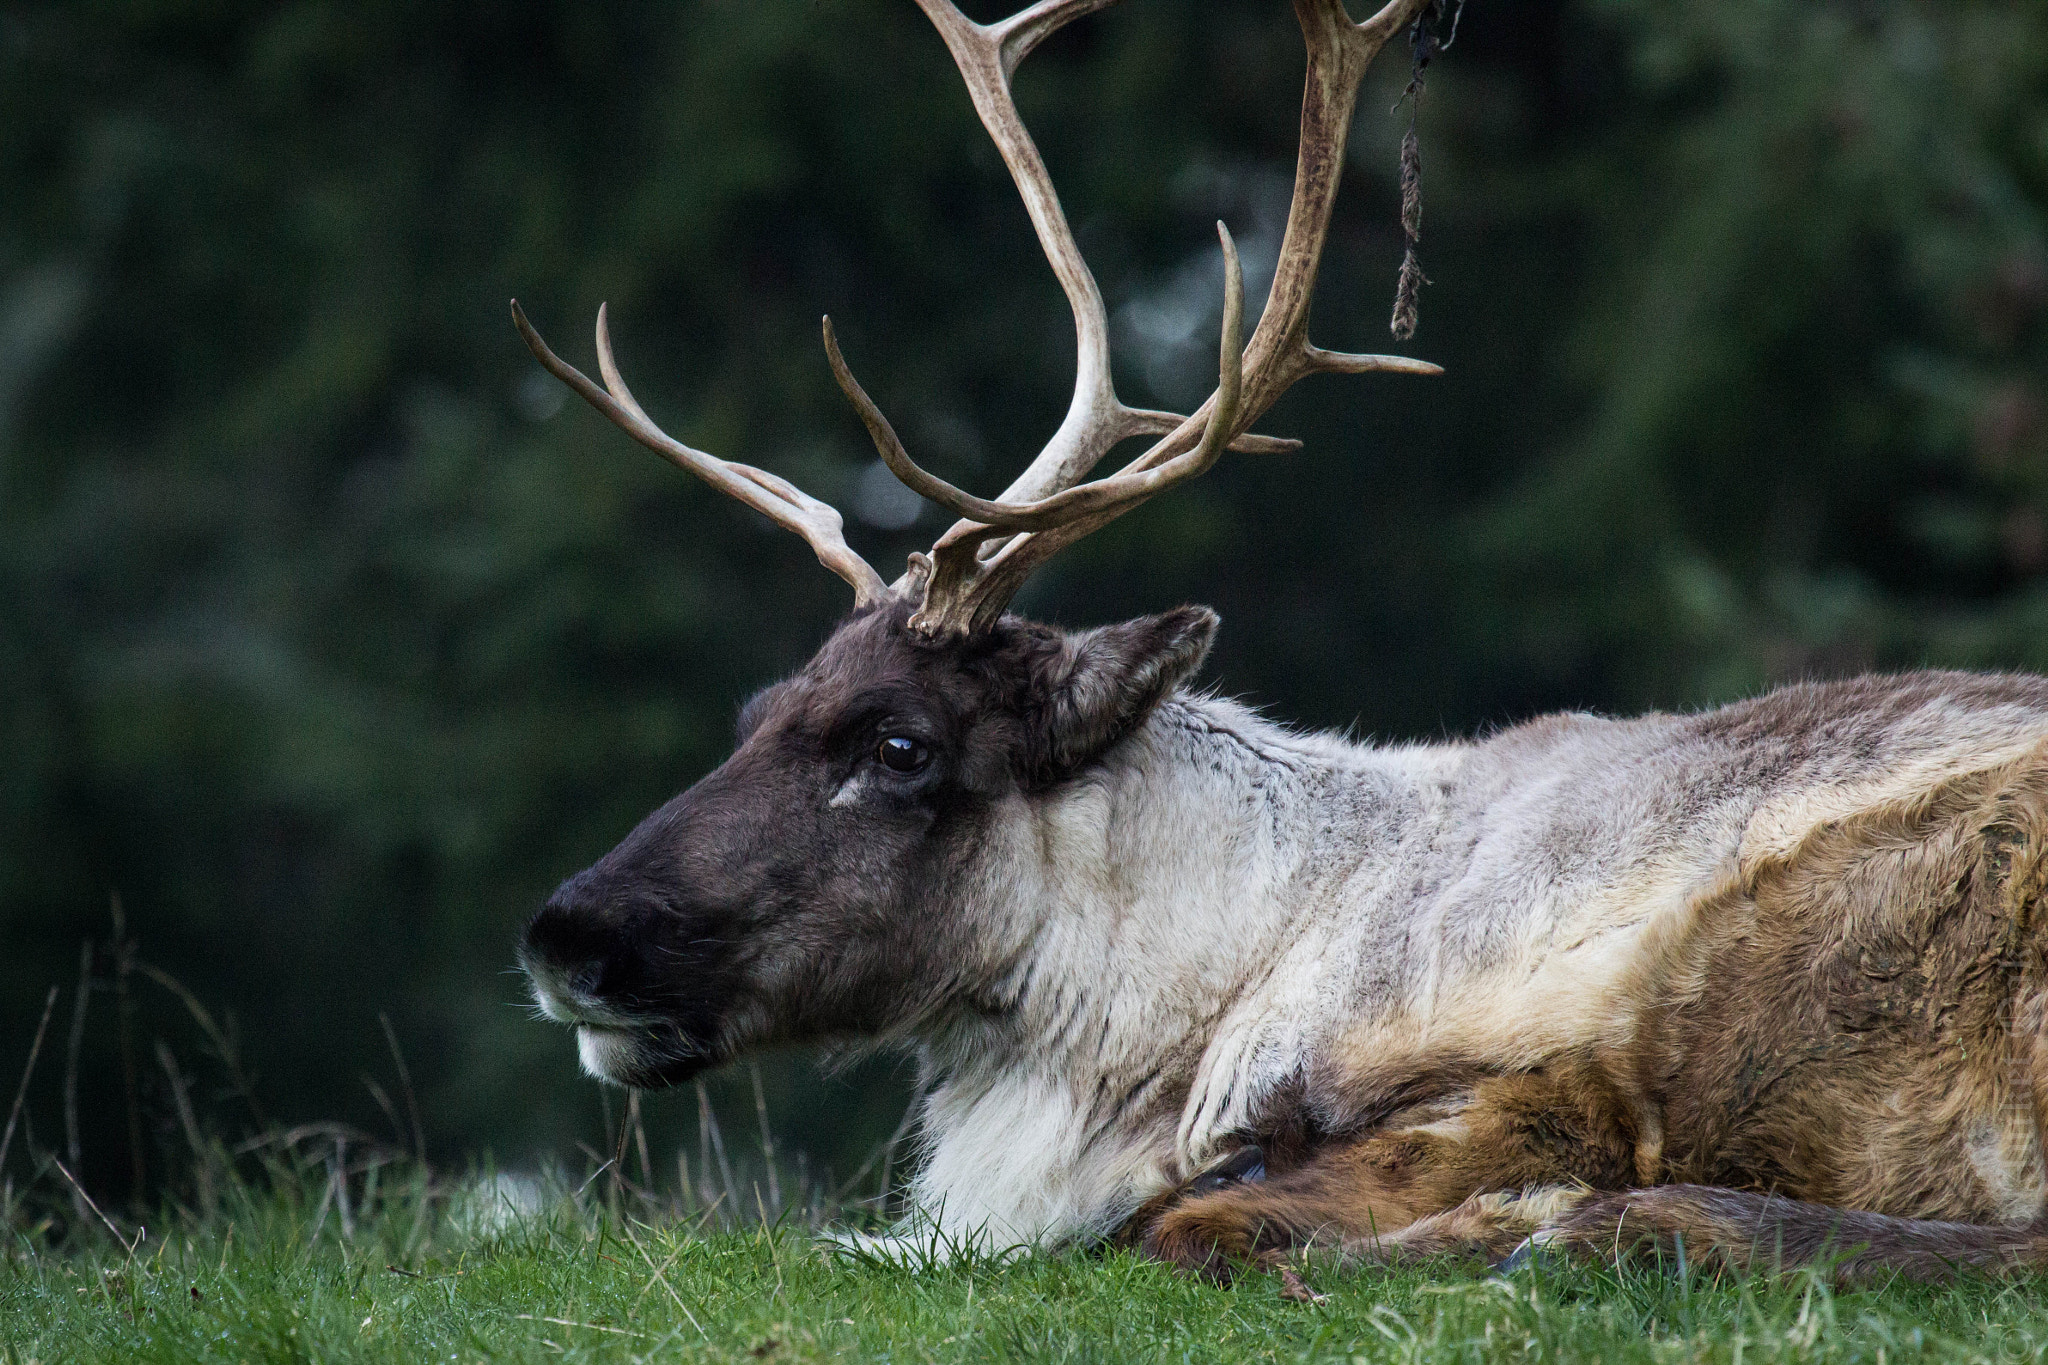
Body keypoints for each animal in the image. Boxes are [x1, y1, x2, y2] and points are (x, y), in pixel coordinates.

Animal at [515, 0, 2048, 1289]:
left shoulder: (1533, 1077)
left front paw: (1496, 1216)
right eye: (758, 710)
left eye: (899, 743)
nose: (565, 935)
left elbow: (1186, 1216)